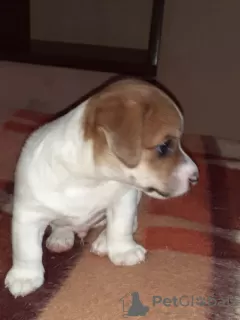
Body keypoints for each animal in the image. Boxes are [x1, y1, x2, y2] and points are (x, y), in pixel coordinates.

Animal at [4, 78, 199, 298]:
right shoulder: (28, 214)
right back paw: (61, 236)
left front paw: (123, 250)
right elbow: (26, 249)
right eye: (164, 146)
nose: (195, 177)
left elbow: (121, 227)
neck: (86, 181)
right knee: (59, 225)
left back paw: (103, 241)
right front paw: (25, 276)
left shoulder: (124, 199)